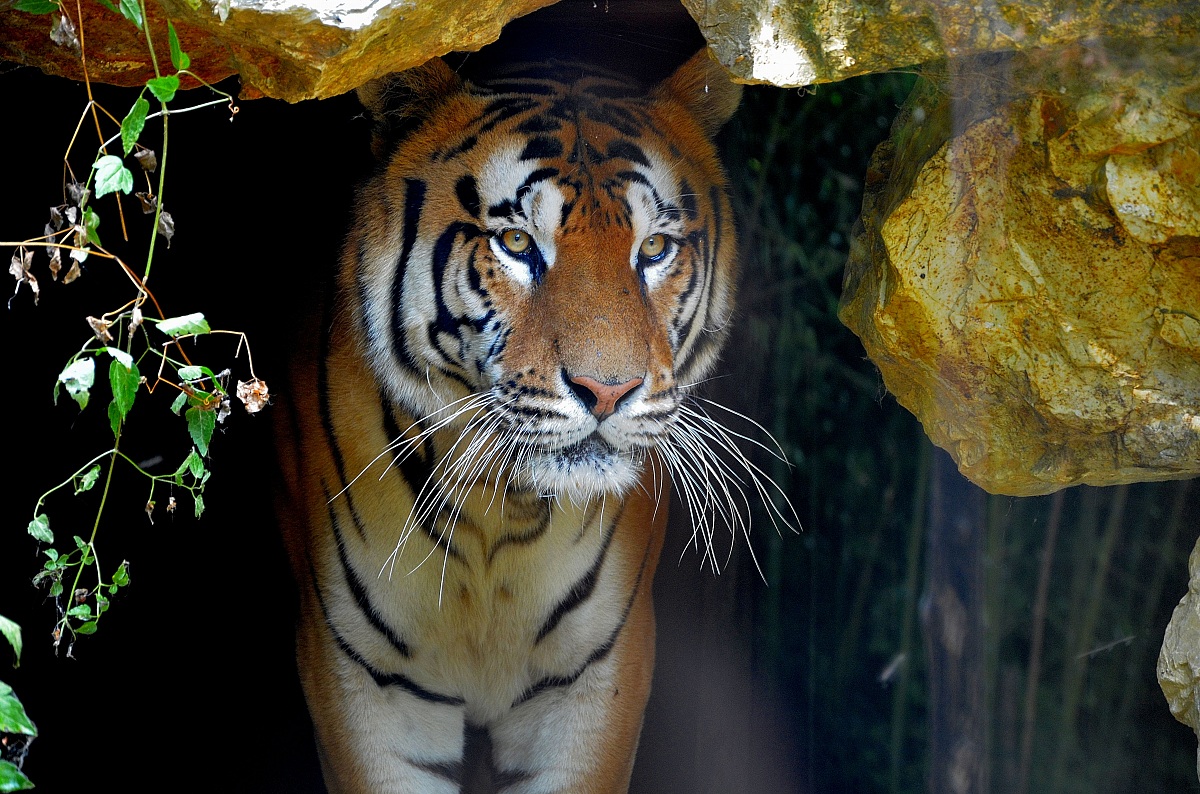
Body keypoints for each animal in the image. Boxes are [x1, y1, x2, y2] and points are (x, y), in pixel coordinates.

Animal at [275, 46, 777, 793]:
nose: (608, 390)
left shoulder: (596, 679)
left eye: (655, 249)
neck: (497, 513)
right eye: (516, 241)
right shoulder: (361, 681)